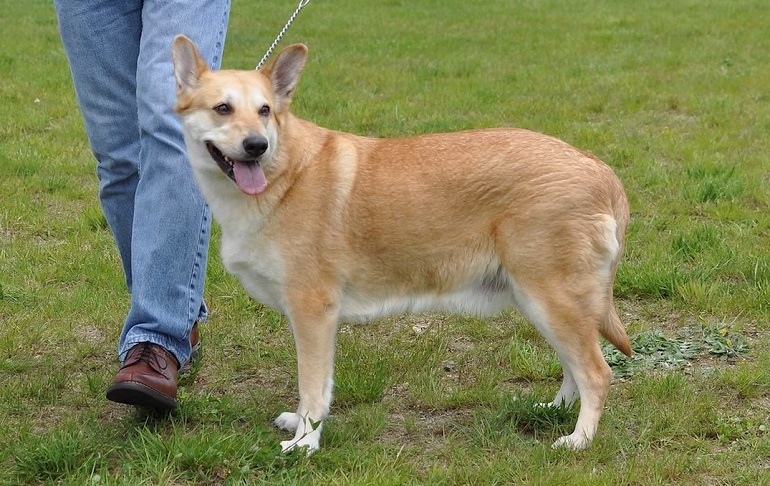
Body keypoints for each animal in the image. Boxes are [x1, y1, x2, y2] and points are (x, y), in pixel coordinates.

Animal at [174, 36, 632, 454]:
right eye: (222, 108)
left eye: (265, 110)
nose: (257, 145)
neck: (282, 174)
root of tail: (600, 170)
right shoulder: (312, 318)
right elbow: (318, 386)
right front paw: (303, 426)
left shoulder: (312, 311)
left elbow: (312, 387)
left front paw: (305, 442)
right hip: (542, 303)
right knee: (574, 369)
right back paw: (552, 411)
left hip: (550, 300)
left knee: (596, 373)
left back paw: (579, 440)